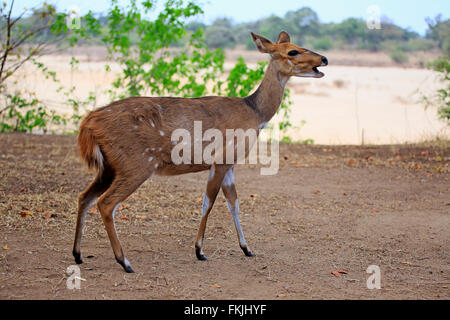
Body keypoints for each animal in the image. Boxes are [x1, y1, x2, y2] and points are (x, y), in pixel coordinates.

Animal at [73, 31, 326, 272]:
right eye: (293, 51)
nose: (323, 59)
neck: (254, 113)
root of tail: (89, 123)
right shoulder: (221, 160)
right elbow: (209, 202)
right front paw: (199, 250)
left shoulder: (230, 164)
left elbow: (233, 202)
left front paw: (247, 249)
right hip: (136, 165)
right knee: (106, 203)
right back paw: (125, 262)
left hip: (109, 167)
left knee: (84, 197)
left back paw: (78, 255)